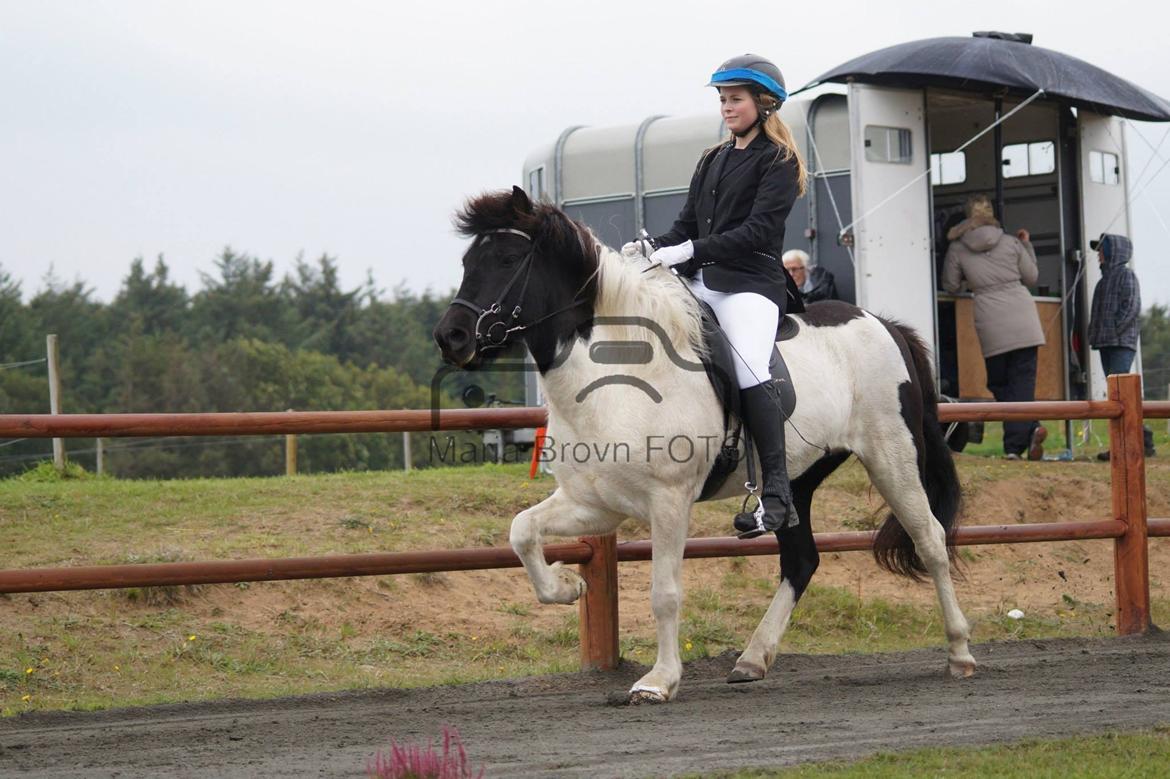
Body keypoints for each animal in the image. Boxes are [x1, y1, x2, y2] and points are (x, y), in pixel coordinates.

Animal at [435, 188, 973, 701]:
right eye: (466, 262)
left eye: (507, 259)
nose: (451, 337)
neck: (615, 375)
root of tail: (882, 323)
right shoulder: (595, 504)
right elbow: (522, 531)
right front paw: (567, 586)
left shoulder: (669, 500)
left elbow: (664, 593)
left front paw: (658, 681)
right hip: (797, 480)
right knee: (802, 560)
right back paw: (752, 660)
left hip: (891, 455)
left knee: (929, 538)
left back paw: (960, 653)